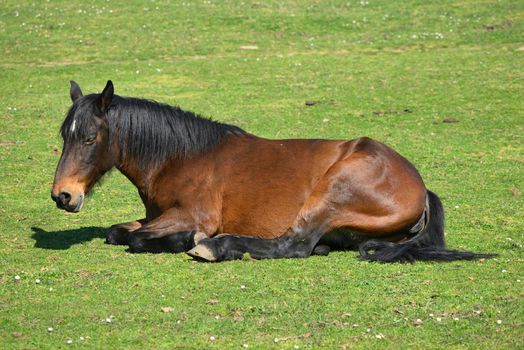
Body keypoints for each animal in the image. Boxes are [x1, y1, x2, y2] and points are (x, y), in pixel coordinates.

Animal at [50, 81, 496, 262]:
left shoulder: (192, 215)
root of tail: (420, 187)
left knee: (295, 245)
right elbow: (118, 232)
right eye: (64, 135)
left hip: (332, 192)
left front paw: (188, 240)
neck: (182, 157)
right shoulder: (158, 214)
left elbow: (135, 239)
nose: (63, 195)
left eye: (89, 138)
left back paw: (216, 247)